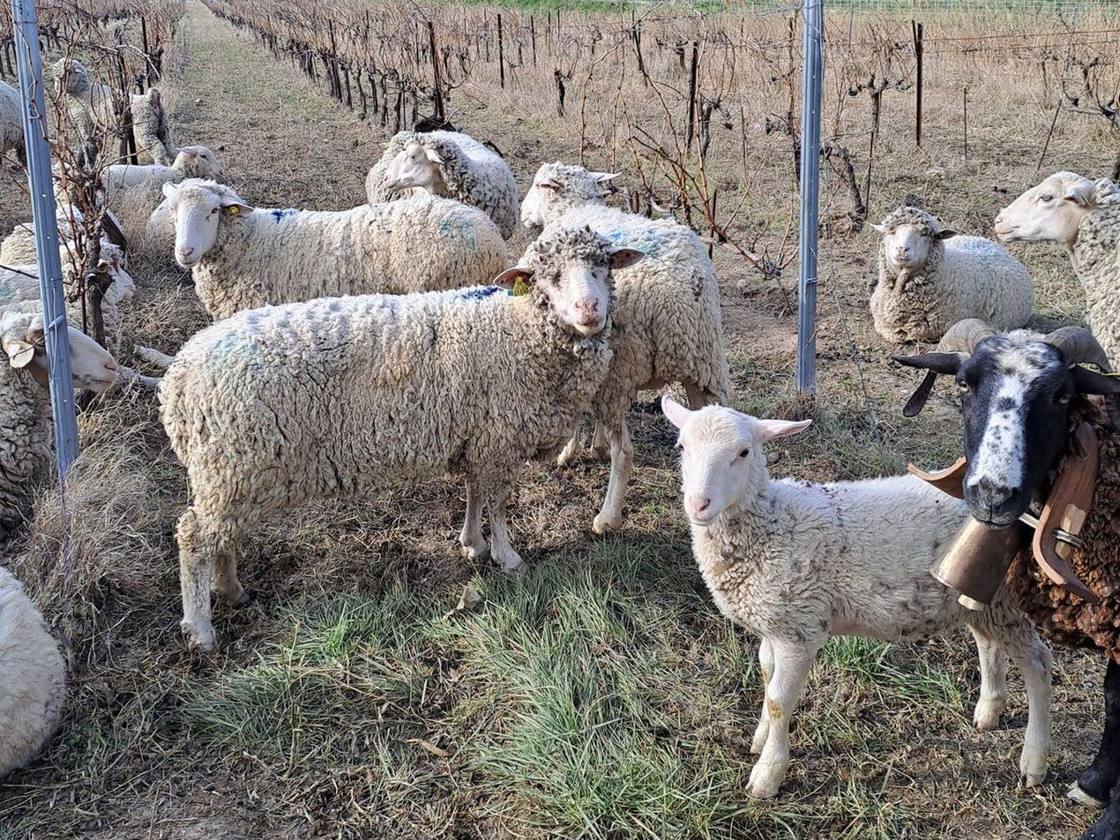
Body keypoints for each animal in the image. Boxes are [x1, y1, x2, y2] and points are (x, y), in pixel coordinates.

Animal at [161, 225, 642, 652]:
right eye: (550, 276)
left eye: (602, 266)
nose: (590, 310)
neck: (518, 330)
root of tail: (177, 380)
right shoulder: (498, 438)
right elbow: (499, 502)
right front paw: (507, 557)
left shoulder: (478, 436)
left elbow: (474, 493)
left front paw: (473, 544)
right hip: (232, 466)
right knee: (195, 538)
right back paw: (201, 628)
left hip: (227, 476)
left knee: (220, 537)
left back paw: (231, 590)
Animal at [520, 162, 729, 533]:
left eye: (539, 185)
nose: (522, 214)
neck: (575, 209)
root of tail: (672, 300)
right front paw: (596, 445)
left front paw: (569, 451)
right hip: (704, 361)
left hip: (624, 368)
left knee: (626, 452)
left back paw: (608, 517)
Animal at [659, 394, 1053, 800]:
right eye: (681, 447)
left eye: (743, 452)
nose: (698, 504)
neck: (772, 523)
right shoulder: (773, 623)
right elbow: (767, 679)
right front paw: (759, 740)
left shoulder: (800, 629)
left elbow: (779, 702)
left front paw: (767, 775)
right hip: (978, 596)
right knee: (989, 645)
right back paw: (988, 712)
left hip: (1007, 600)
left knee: (1039, 665)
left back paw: (1034, 761)